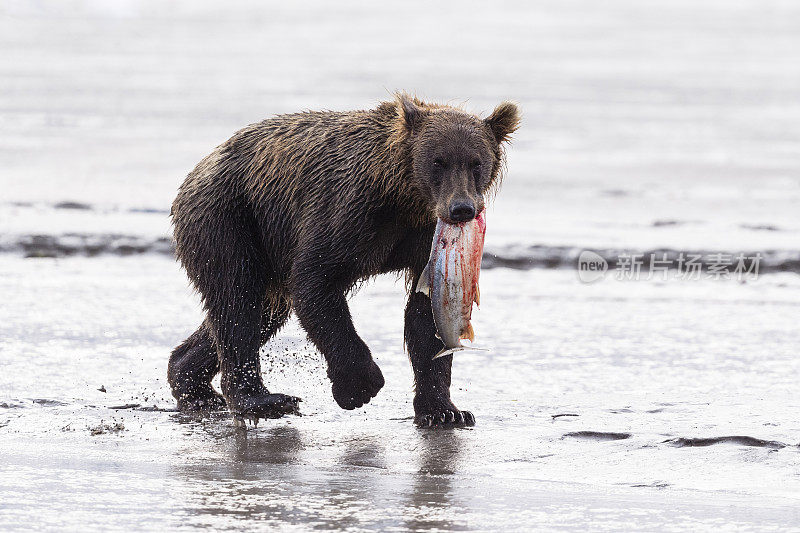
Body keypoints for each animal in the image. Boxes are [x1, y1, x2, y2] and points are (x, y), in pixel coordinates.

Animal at [168, 93, 520, 426]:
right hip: (230, 216)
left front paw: (444, 411)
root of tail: (201, 165)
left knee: (258, 313)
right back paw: (262, 400)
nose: (461, 208)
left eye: (476, 163)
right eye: (438, 162)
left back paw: (195, 387)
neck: (404, 199)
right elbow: (315, 282)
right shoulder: (346, 211)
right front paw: (358, 386)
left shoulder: (422, 240)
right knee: (237, 300)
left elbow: (425, 317)